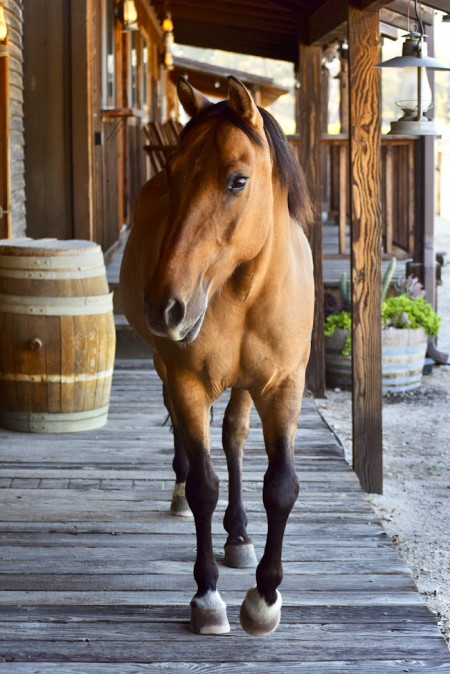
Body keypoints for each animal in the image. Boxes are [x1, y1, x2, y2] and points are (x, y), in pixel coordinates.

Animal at [120, 79, 316, 636]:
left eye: (237, 180)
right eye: (172, 172)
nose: (164, 305)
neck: (245, 292)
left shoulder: (283, 387)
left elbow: (281, 486)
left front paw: (265, 596)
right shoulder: (187, 379)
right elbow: (205, 486)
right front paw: (207, 596)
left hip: (247, 387)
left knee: (232, 437)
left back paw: (239, 535)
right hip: (169, 368)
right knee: (190, 440)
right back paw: (182, 491)